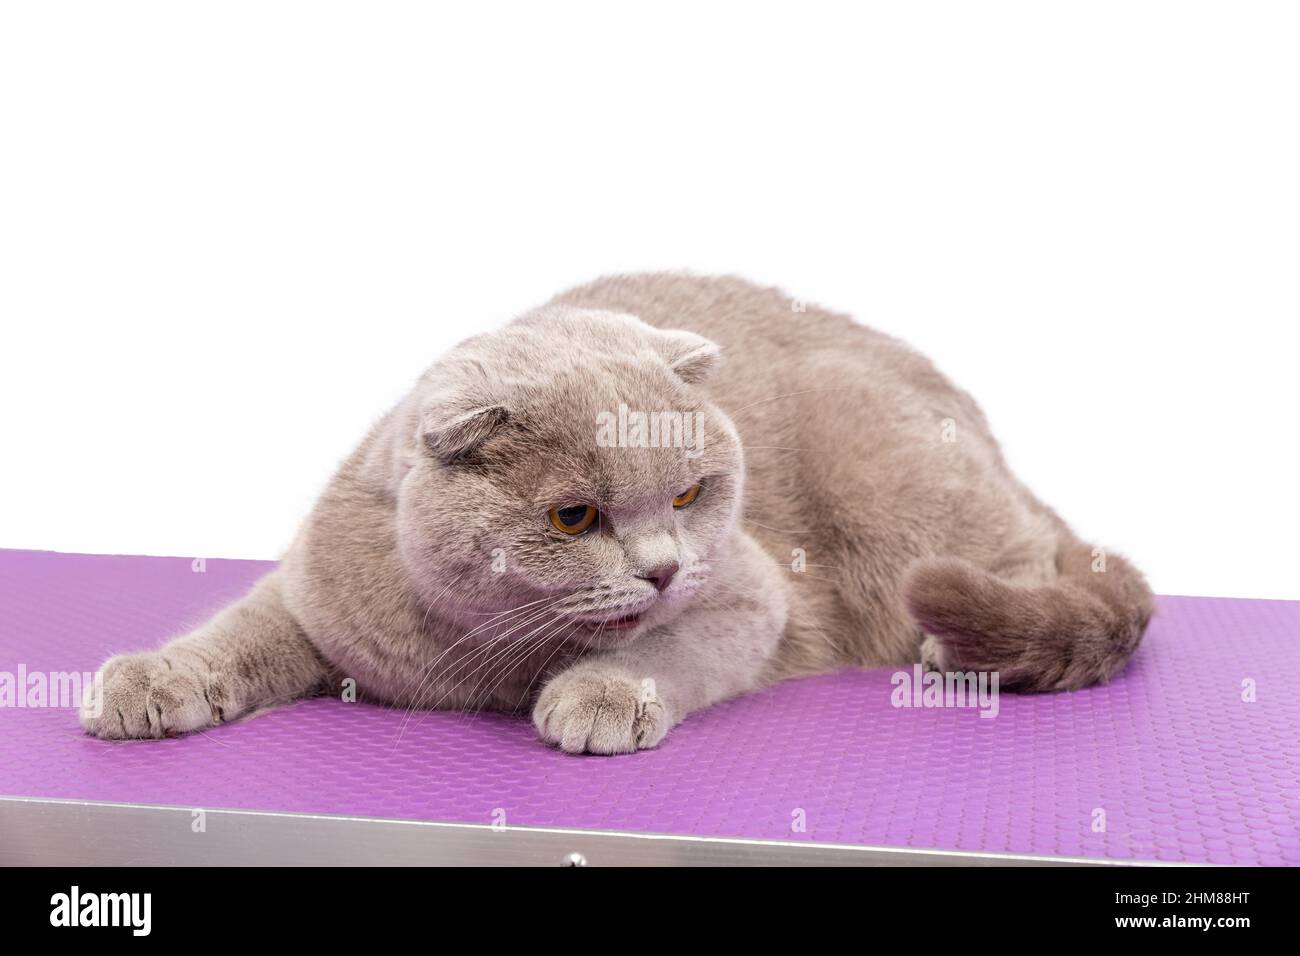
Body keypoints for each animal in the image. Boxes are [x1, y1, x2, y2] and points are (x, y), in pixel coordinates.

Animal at [81, 274, 1154, 754]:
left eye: (687, 495)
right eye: (572, 517)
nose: (664, 566)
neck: (482, 655)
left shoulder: (753, 600)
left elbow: (667, 646)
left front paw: (599, 697)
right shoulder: (320, 597)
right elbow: (237, 631)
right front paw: (149, 682)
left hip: (896, 488)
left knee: (1030, 564)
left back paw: (951, 650)